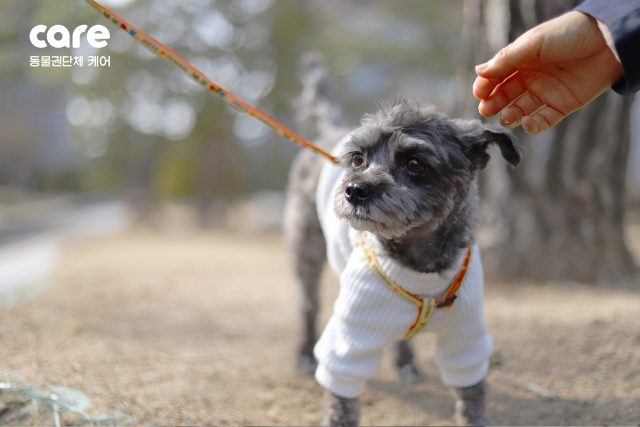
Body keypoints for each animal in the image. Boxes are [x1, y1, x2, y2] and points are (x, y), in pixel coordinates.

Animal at [284, 56, 520, 427]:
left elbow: (472, 396)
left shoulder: (466, 336)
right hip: (305, 254)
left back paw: (406, 364)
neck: (419, 266)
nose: (354, 190)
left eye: (414, 164)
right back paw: (305, 355)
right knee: (308, 306)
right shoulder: (350, 339)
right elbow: (341, 402)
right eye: (358, 159)